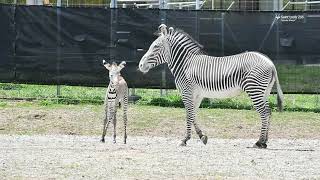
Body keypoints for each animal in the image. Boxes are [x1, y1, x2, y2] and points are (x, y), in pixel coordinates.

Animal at [139, 23, 284, 148]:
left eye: (156, 47)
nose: (140, 66)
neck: (186, 64)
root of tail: (269, 62)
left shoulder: (186, 92)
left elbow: (188, 114)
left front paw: (185, 139)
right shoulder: (197, 95)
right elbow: (193, 114)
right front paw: (202, 136)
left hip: (254, 90)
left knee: (264, 112)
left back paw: (259, 142)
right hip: (264, 91)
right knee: (268, 111)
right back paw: (265, 141)